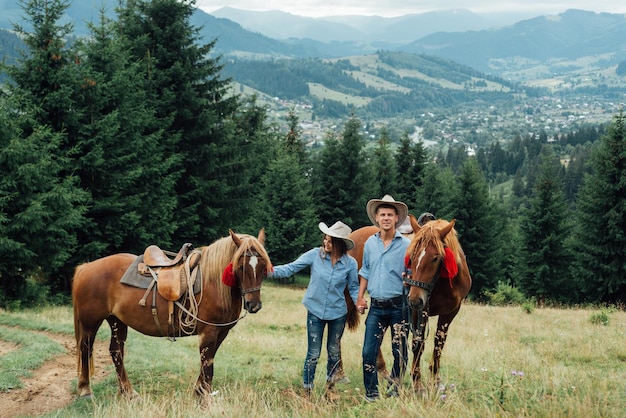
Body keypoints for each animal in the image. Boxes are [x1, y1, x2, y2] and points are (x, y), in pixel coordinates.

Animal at [71, 230, 270, 400]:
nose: (254, 305)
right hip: (90, 323)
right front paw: (205, 397)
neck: (212, 282)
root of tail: (86, 267)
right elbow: (207, 364)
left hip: (117, 321)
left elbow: (209, 360)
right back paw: (86, 390)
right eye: (240, 266)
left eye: (262, 266)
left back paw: (128, 391)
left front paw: (200, 391)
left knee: (116, 351)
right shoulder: (209, 331)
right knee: (85, 349)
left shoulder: (221, 332)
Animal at [404, 216, 468, 392]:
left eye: (435, 258)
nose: (414, 299)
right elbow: (418, 343)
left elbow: (439, 343)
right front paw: (417, 381)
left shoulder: (450, 312)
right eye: (412, 255)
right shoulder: (419, 312)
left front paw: (435, 380)